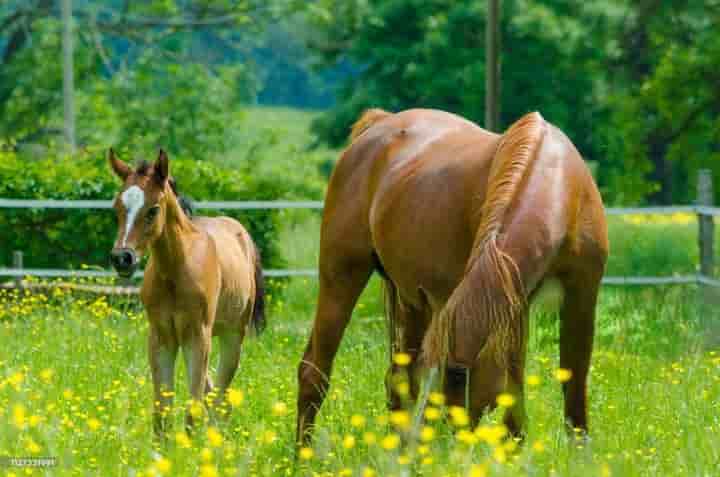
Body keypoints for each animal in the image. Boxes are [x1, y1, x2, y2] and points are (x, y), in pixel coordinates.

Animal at [107, 149, 264, 436]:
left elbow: (193, 409)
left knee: (221, 399)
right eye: (117, 208)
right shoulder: (161, 337)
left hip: (231, 336)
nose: (122, 258)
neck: (175, 271)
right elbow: (162, 412)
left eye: (153, 210)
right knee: (213, 394)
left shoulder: (197, 336)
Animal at [296, 107, 608, 442]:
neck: (562, 188)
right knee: (314, 371)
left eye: (459, 375)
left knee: (398, 381)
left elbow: (568, 389)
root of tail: (379, 123)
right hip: (341, 275)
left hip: (412, 303)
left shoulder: (571, 298)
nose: (433, 438)